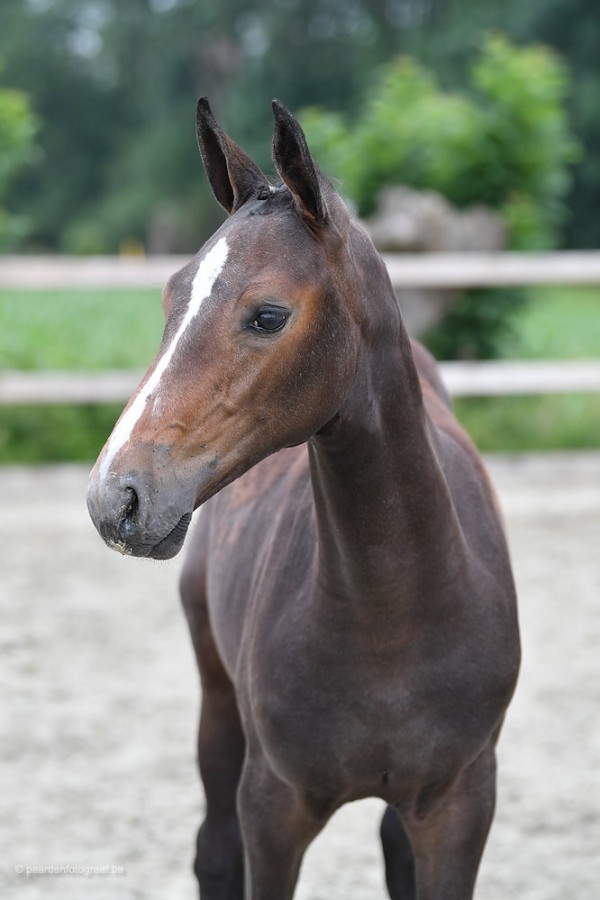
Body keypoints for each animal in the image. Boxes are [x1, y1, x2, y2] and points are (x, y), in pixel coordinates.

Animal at [87, 98, 520, 899]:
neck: (394, 614)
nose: (116, 496)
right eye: (170, 297)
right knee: (213, 847)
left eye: (267, 315)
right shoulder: (273, 807)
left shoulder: (462, 804)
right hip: (216, 699)